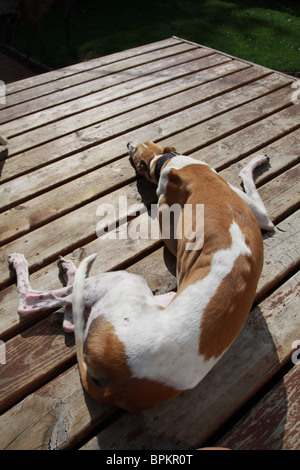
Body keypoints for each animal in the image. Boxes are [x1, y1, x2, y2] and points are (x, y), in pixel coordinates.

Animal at [8, 141, 274, 414]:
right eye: (146, 143)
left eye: (134, 157)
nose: (128, 143)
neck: (169, 161)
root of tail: (117, 381)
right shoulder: (259, 216)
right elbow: (254, 194)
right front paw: (257, 161)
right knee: (71, 318)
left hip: (124, 284)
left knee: (35, 301)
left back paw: (37, 265)